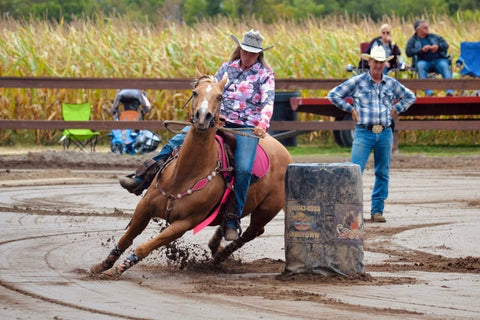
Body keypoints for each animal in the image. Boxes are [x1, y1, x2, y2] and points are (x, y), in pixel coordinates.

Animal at [90, 74, 292, 278]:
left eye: (220, 96)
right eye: (195, 92)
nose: (202, 116)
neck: (184, 175)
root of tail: (284, 151)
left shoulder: (184, 223)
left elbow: (146, 246)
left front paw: (119, 268)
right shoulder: (144, 207)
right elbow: (127, 238)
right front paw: (103, 265)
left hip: (267, 209)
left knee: (253, 232)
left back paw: (220, 256)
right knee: (233, 225)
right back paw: (217, 244)